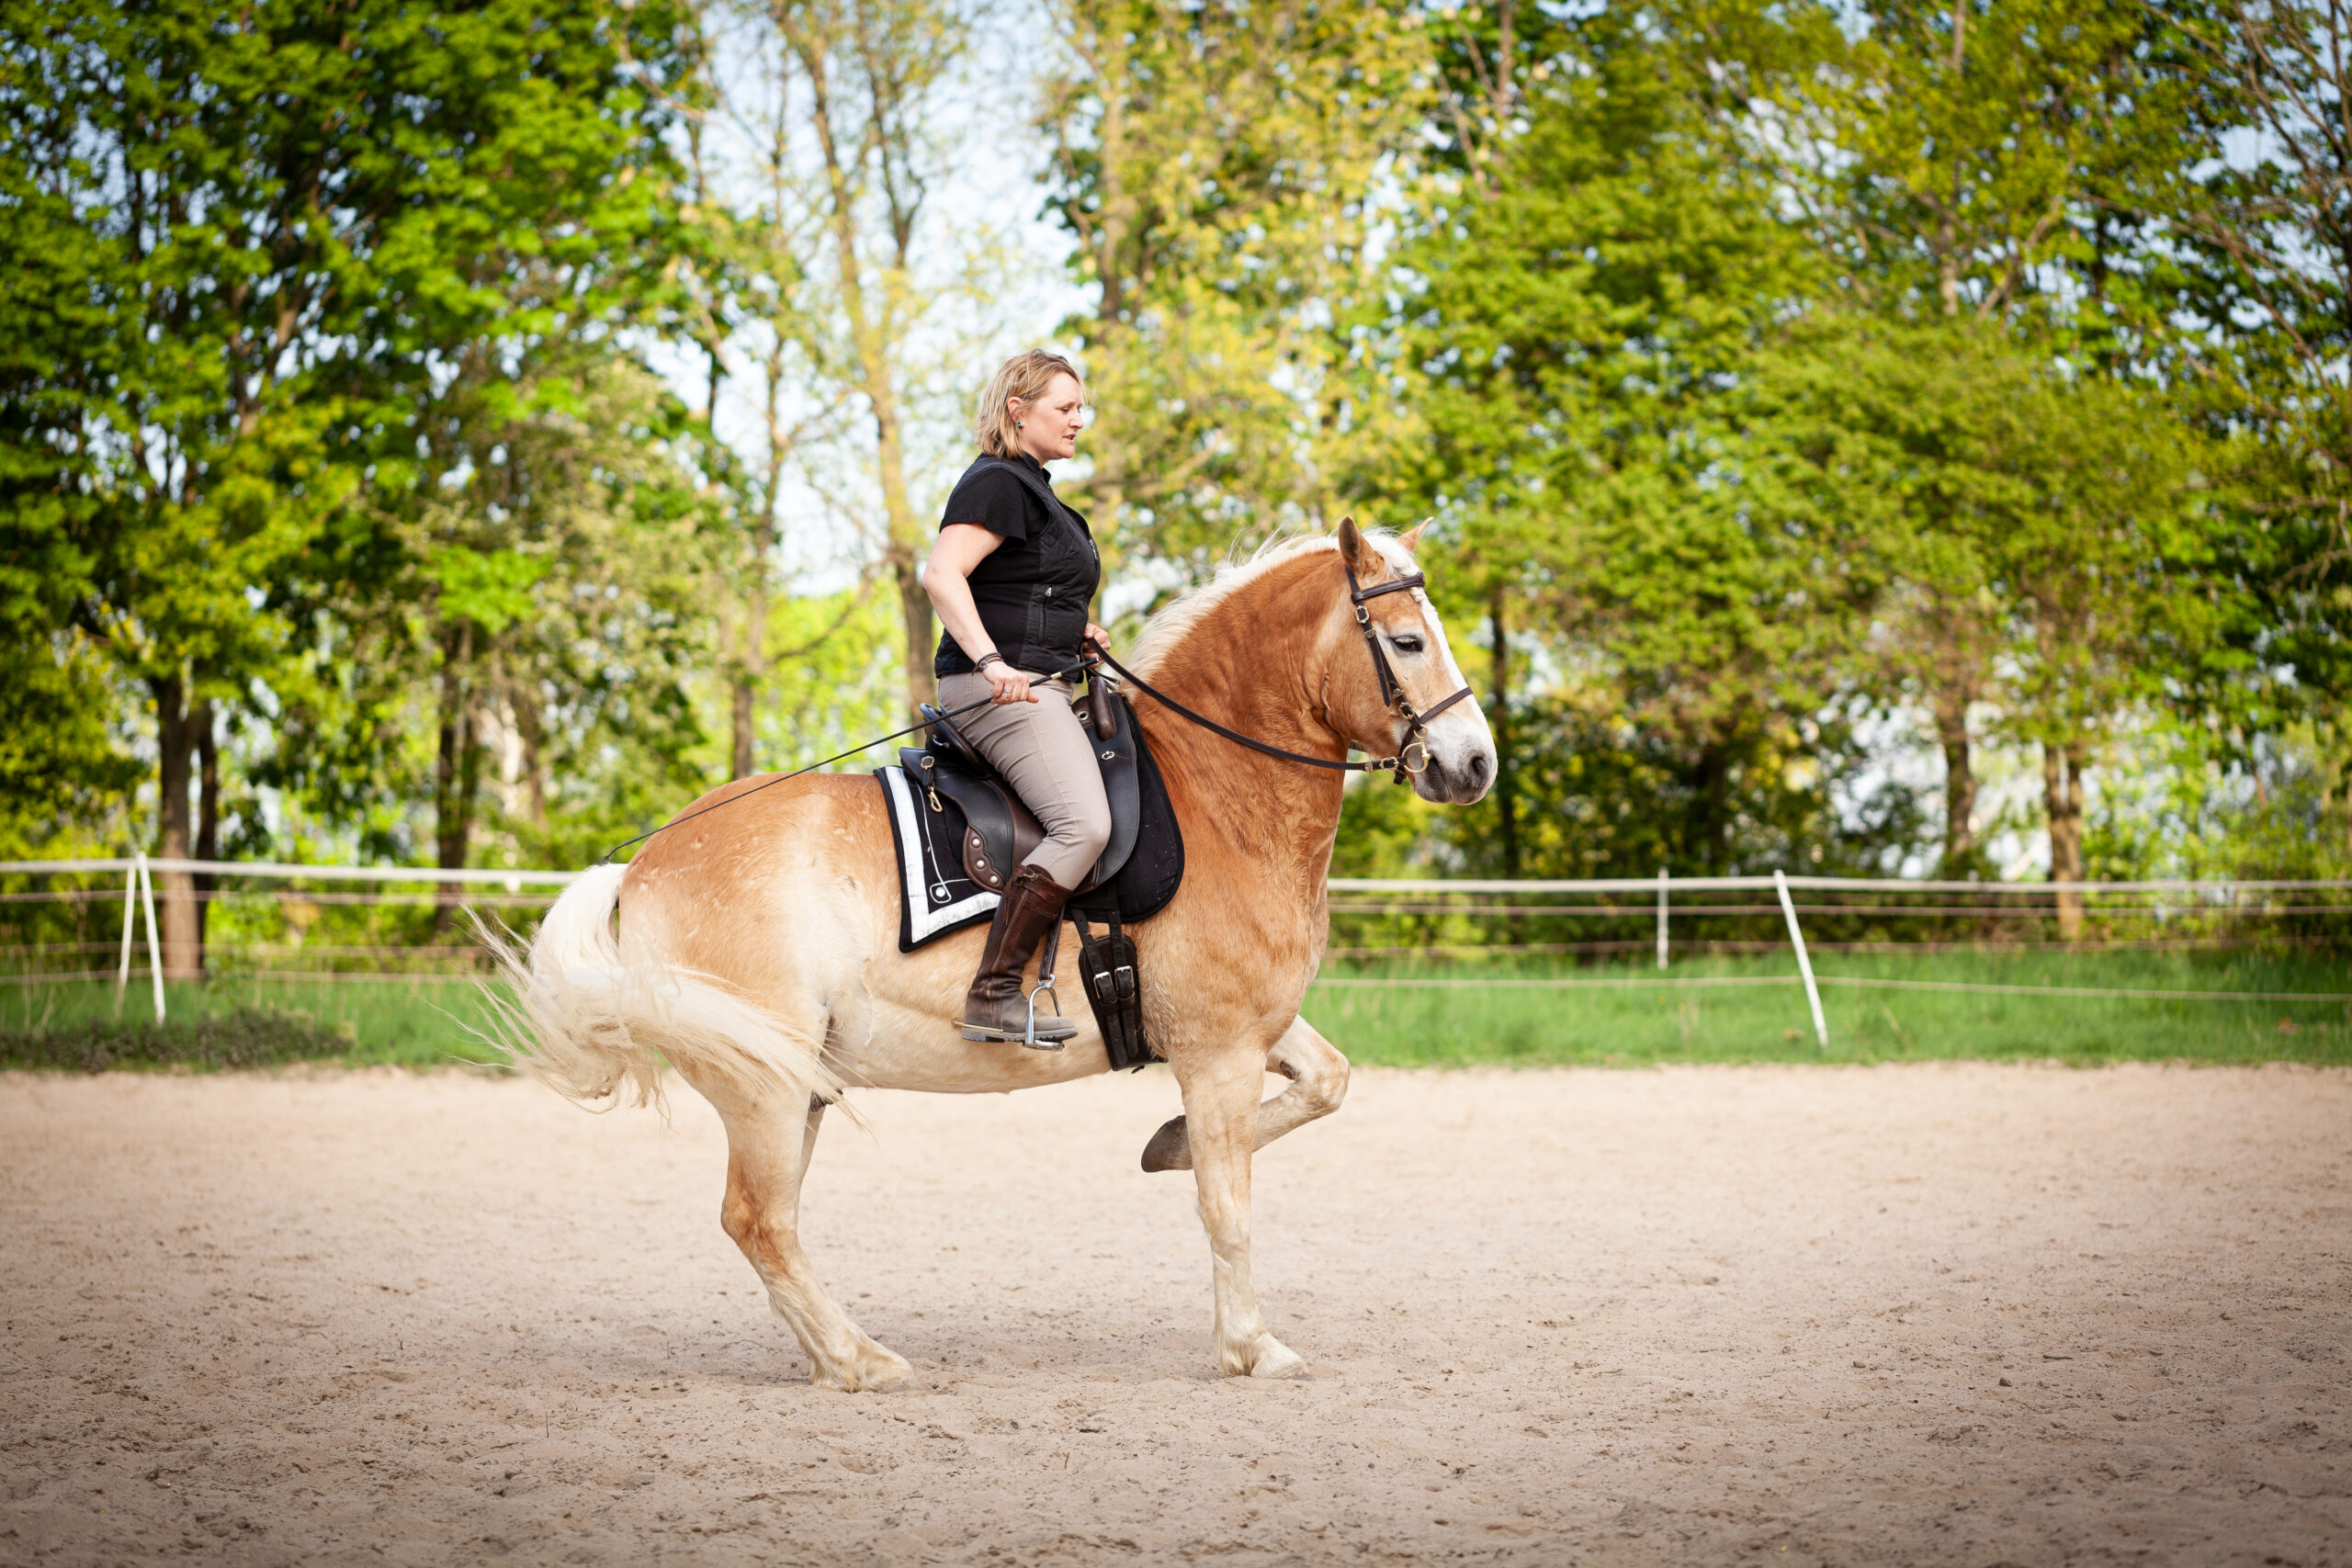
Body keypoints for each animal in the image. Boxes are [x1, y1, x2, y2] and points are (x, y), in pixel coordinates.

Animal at [489, 524, 1496, 1382]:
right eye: (1408, 641)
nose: (1475, 764)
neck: (1213, 795)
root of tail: (645, 860)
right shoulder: (1217, 1050)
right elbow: (1228, 1203)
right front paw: (1251, 1346)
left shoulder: (1247, 1028)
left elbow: (1326, 1082)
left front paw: (1165, 1144)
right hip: (762, 1083)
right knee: (758, 1219)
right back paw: (862, 1361)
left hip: (792, 1078)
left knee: (767, 1224)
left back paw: (834, 1358)